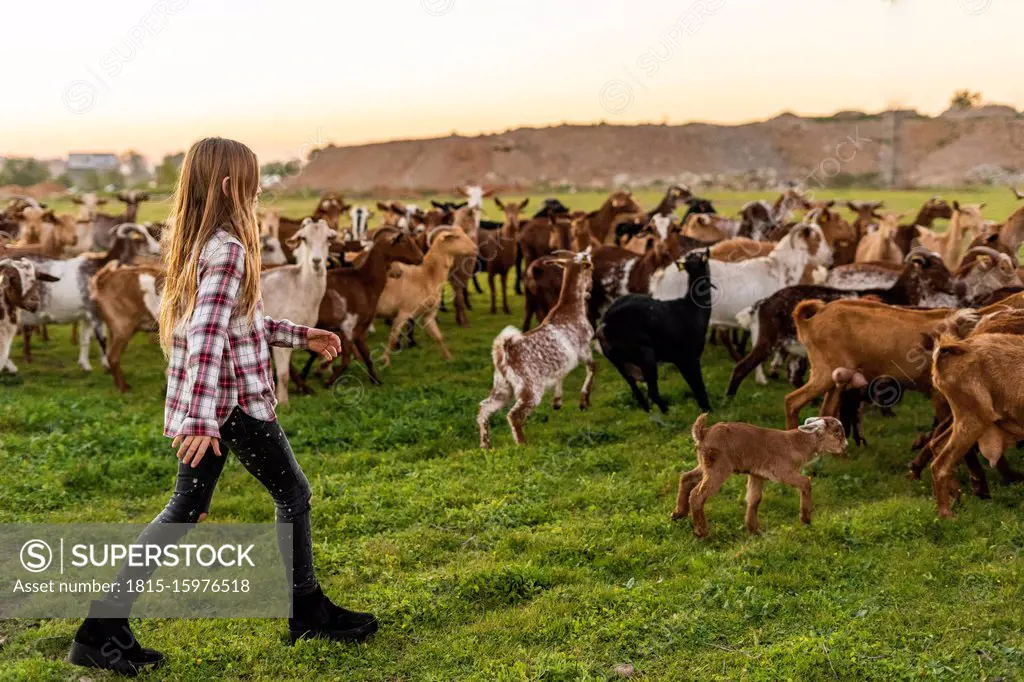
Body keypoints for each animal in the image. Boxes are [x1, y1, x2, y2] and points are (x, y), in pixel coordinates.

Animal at [598, 248, 716, 411]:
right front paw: (708, 410)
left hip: (618, 361)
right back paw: (668, 413)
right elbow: (699, 387)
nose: (707, 249)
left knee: (638, 394)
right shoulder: (690, 356)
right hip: (645, 354)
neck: (694, 309)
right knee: (652, 392)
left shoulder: (680, 359)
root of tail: (604, 324)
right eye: (704, 258)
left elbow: (695, 387)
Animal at [671, 411, 847, 532]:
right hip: (718, 467)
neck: (795, 444)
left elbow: (754, 499)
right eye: (837, 432)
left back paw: (678, 514)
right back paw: (701, 531)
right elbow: (806, 482)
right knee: (697, 494)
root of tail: (702, 433)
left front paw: (754, 529)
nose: (845, 446)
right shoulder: (782, 472)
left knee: (685, 478)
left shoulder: (757, 474)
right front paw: (806, 519)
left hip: (704, 464)